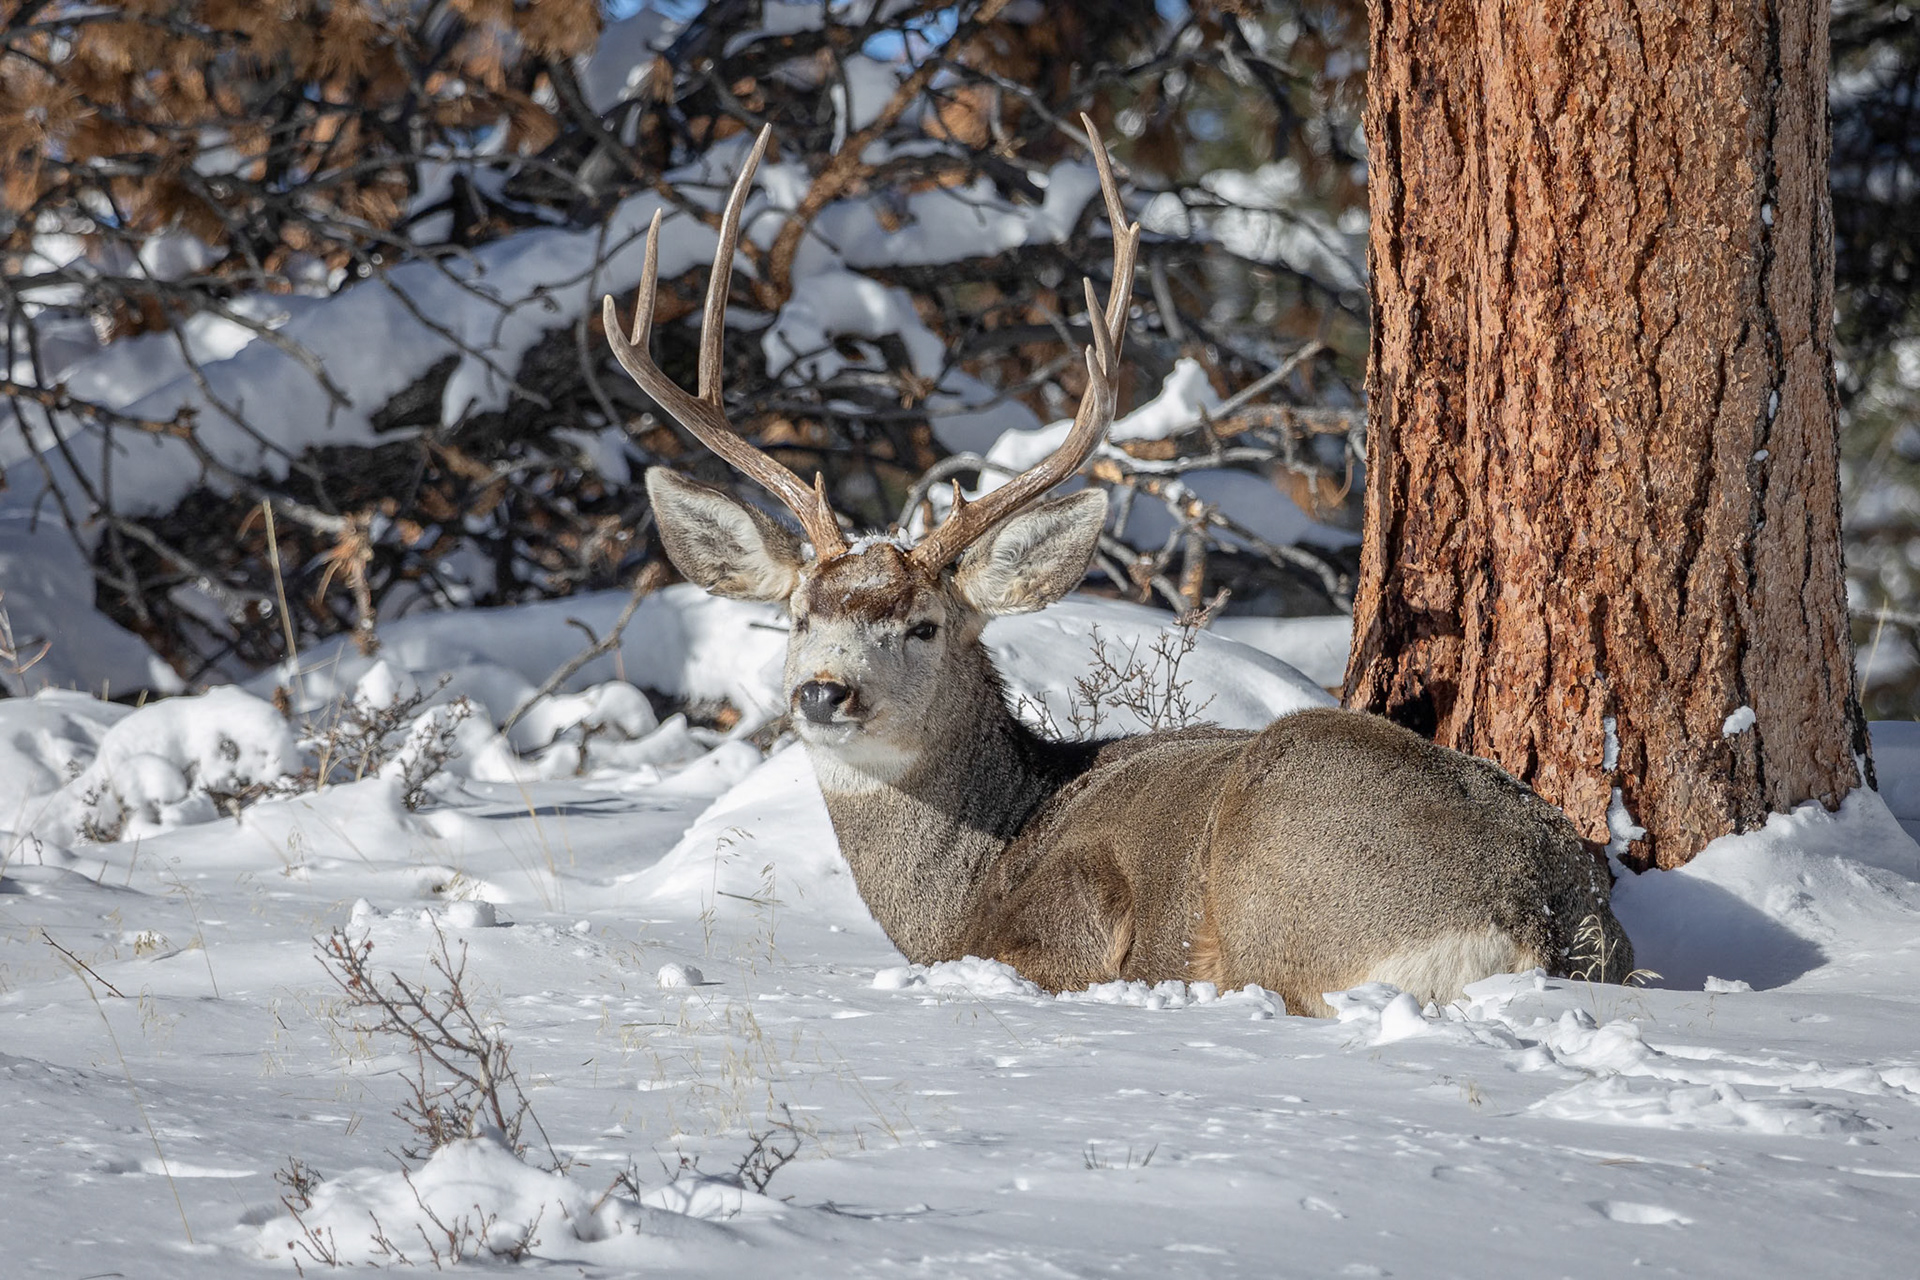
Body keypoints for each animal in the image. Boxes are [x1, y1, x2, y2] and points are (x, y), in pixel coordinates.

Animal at [603, 121, 1633, 1017]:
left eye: (923, 625)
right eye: (799, 616)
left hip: (1285, 885)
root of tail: (1539, 913)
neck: (970, 879)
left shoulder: (1071, 920)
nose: (824, 692)